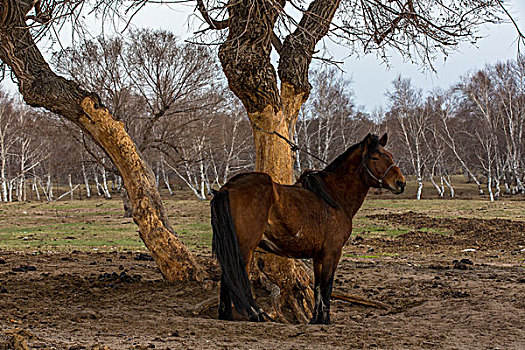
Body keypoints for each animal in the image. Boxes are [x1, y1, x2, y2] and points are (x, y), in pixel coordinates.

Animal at [209, 133, 406, 324]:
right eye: (374, 157)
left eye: (390, 155)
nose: (401, 183)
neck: (332, 197)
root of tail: (227, 188)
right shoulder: (332, 252)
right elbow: (327, 285)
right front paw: (325, 320)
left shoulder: (318, 256)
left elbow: (318, 287)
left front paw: (316, 319)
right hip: (245, 247)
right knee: (237, 274)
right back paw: (255, 314)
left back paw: (227, 315)